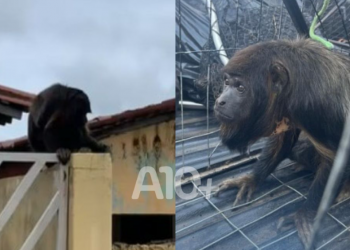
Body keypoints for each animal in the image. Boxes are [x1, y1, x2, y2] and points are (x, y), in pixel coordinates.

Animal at [212, 38, 350, 248]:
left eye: (241, 88)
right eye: (227, 82)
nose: (220, 100)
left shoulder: (315, 106)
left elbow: (335, 157)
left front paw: (304, 214)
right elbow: (283, 141)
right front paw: (250, 179)